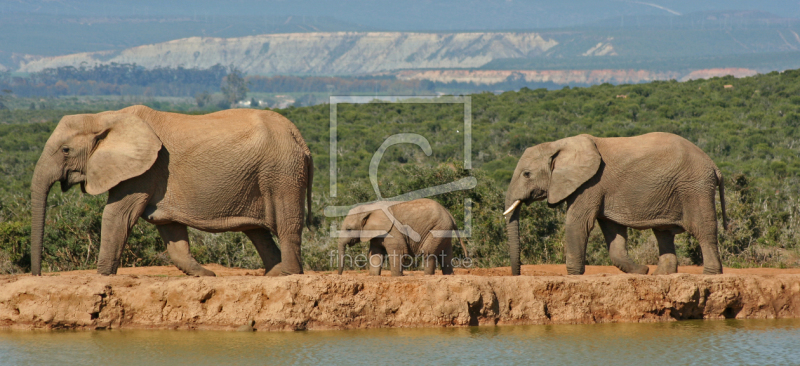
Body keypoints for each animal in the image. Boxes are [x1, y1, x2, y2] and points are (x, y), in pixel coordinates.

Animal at [30, 104, 312, 276]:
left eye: (65, 150)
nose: (37, 274)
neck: (106, 116)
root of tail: (299, 137)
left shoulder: (145, 170)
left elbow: (117, 215)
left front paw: (103, 277)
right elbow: (168, 226)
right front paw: (206, 275)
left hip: (282, 173)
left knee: (286, 225)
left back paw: (286, 274)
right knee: (257, 232)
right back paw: (272, 273)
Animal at [334, 199, 466, 276]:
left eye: (349, 229)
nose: (339, 275)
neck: (370, 207)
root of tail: (450, 215)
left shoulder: (392, 229)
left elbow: (397, 251)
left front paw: (397, 276)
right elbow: (375, 253)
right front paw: (374, 276)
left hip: (438, 228)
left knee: (428, 252)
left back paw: (428, 276)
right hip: (444, 230)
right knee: (446, 254)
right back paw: (449, 275)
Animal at [506, 133, 724, 276]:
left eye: (526, 174)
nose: (518, 273)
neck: (558, 145)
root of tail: (714, 165)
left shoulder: (591, 183)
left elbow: (578, 223)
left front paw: (574, 276)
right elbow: (613, 231)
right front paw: (640, 271)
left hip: (695, 187)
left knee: (703, 229)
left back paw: (710, 274)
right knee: (663, 232)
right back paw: (660, 275)